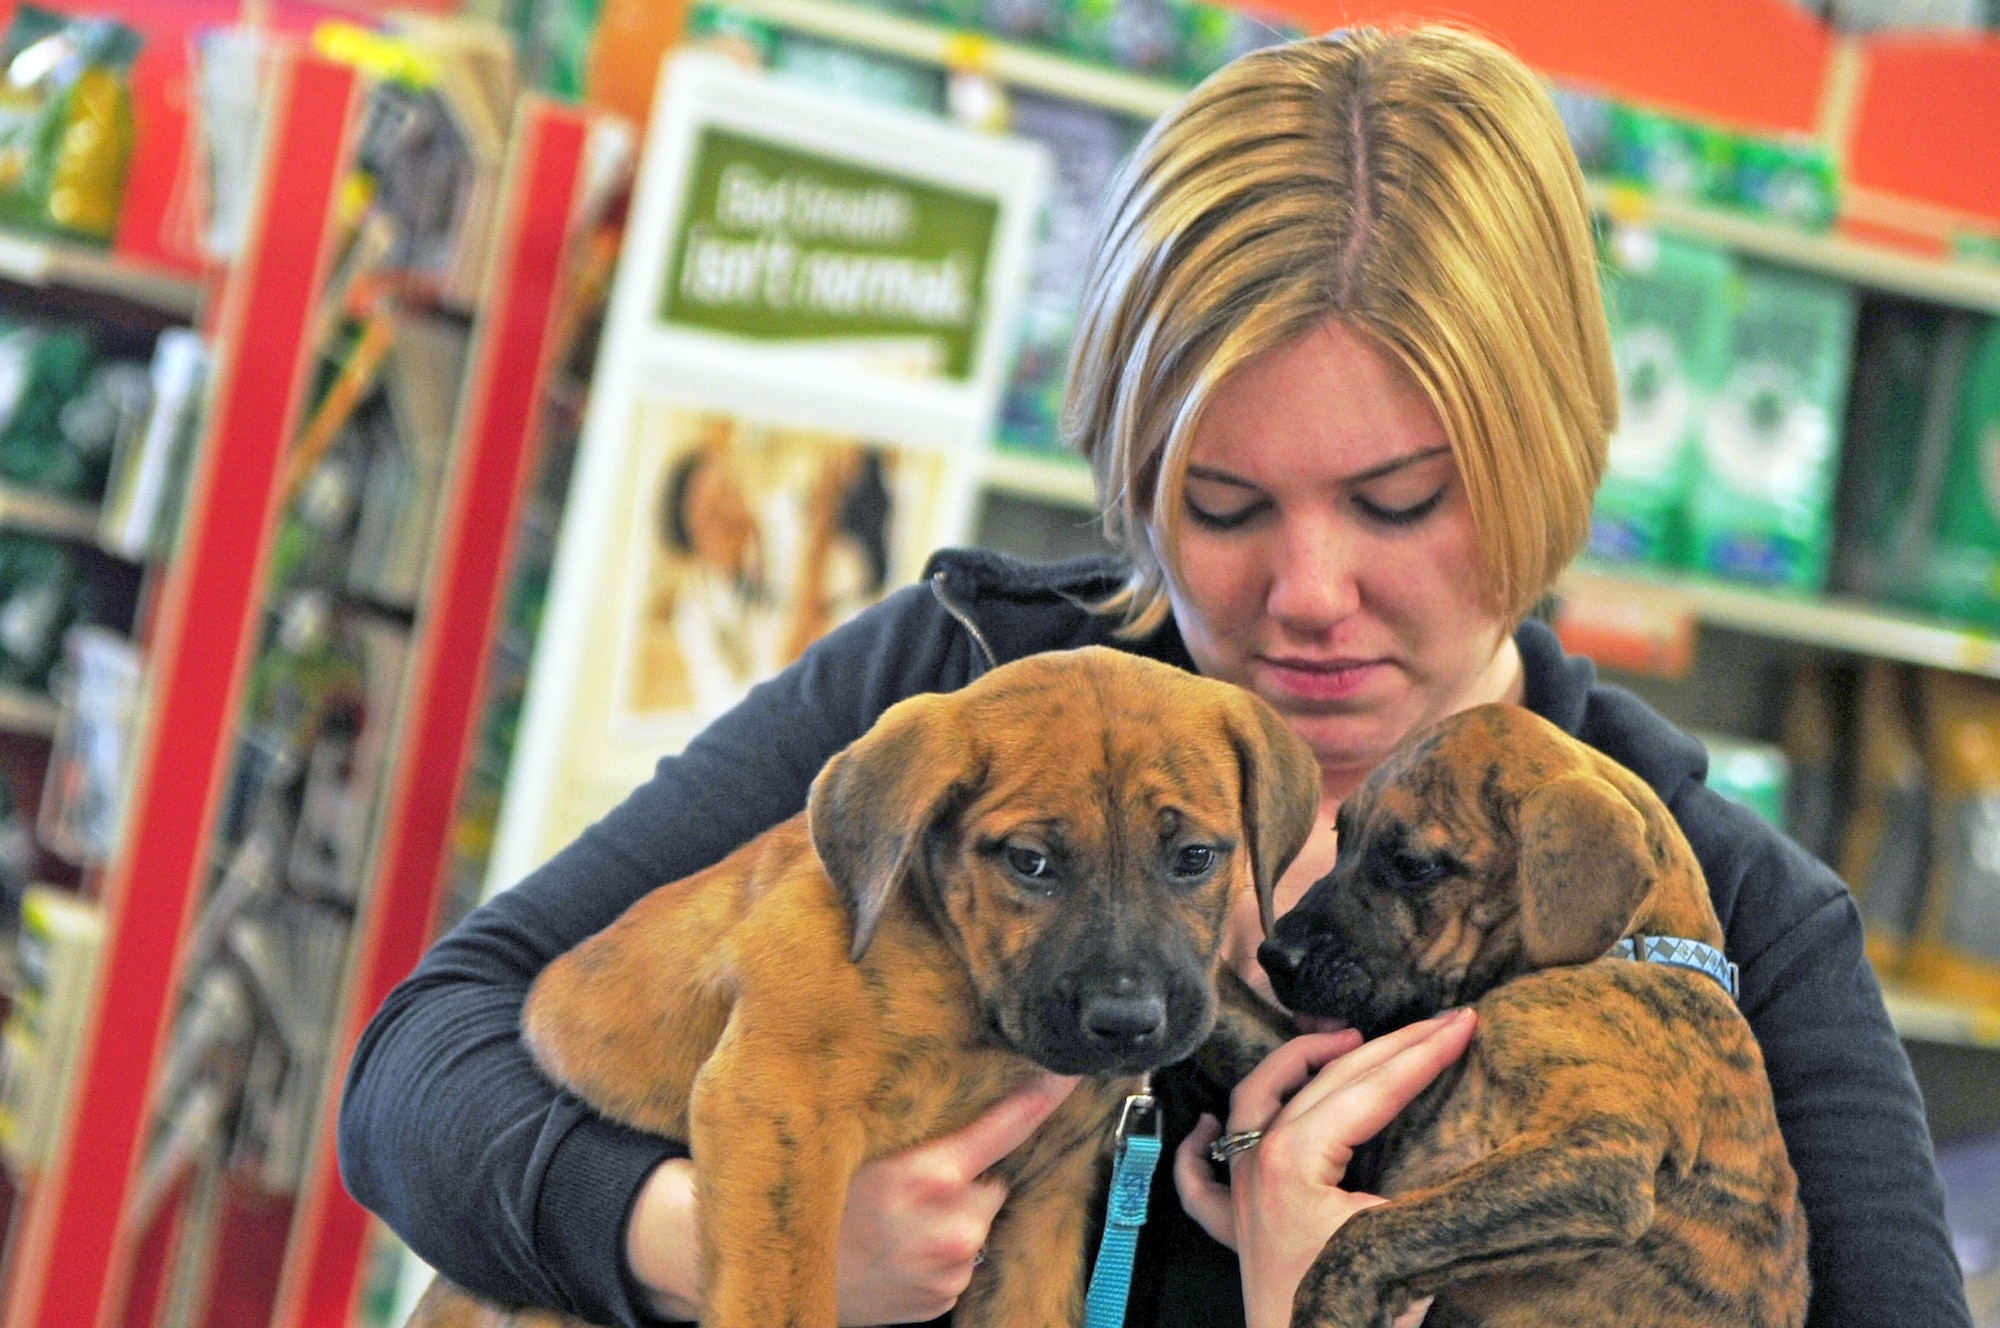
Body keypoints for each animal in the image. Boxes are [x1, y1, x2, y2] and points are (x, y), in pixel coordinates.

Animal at [1264, 704, 1816, 1328]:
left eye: (1412, 866)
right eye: (1340, 838)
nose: (1273, 955)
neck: (1634, 949)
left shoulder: (1599, 1154)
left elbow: (1368, 1231)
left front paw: (1326, 1306)